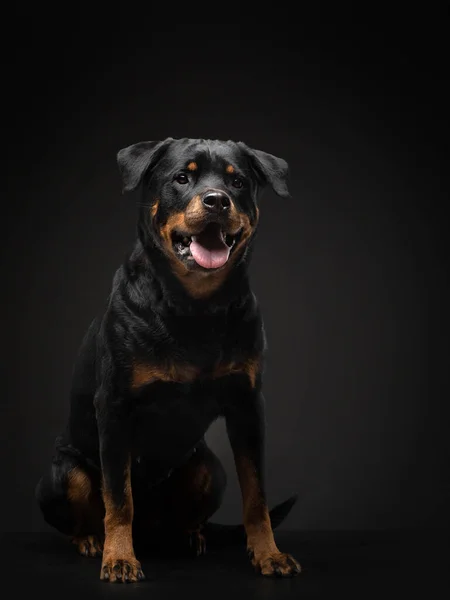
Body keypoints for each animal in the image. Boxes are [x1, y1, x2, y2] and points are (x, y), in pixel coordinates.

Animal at [36, 137, 302, 580]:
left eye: (238, 182)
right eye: (182, 178)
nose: (217, 200)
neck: (196, 307)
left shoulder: (248, 405)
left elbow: (256, 493)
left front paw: (268, 553)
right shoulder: (115, 407)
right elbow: (118, 497)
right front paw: (119, 558)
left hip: (210, 469)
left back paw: (191, 536)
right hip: (61, 474)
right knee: (88, 507)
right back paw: (91, 540)